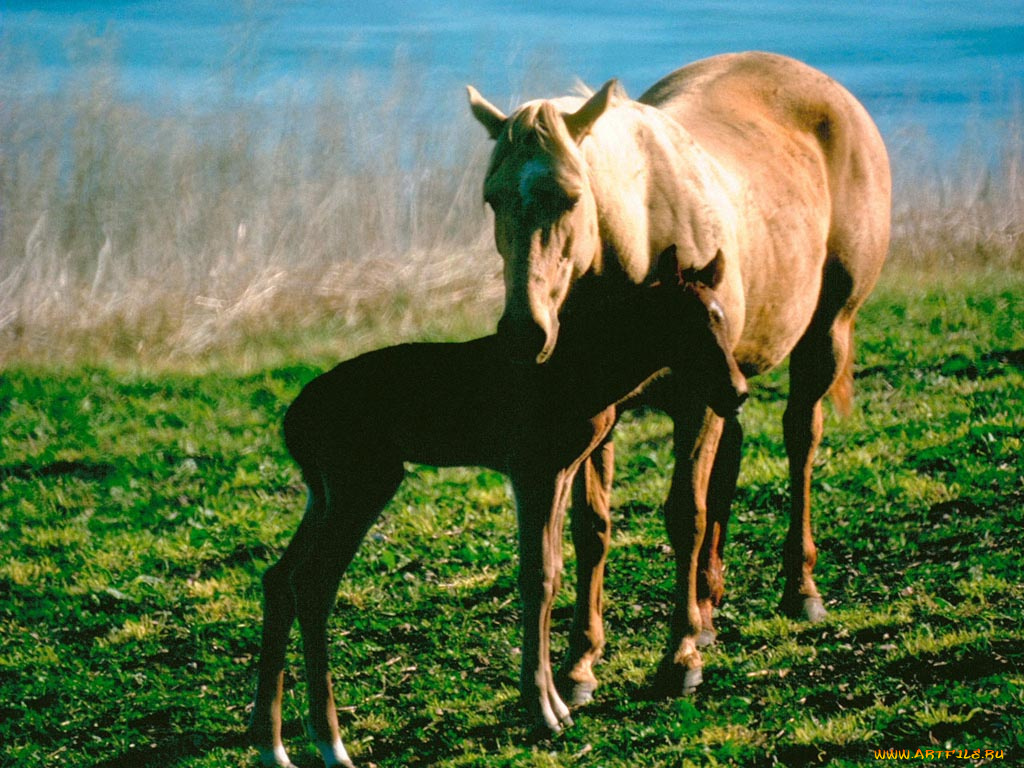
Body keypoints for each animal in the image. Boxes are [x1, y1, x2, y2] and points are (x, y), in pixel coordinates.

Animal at [468, 51, 892, 704]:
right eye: (493, 199)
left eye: (570, 197)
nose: (523, 332)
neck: (639, 251)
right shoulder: (597, 414)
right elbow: (594, 528)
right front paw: (580, 665)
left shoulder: (696, 401)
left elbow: (684, 516)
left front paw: (680, 657)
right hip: (730, 381)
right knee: (730, 460)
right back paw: (710, 609)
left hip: (823, 335)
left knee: (801, 440)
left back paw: (799, 591)